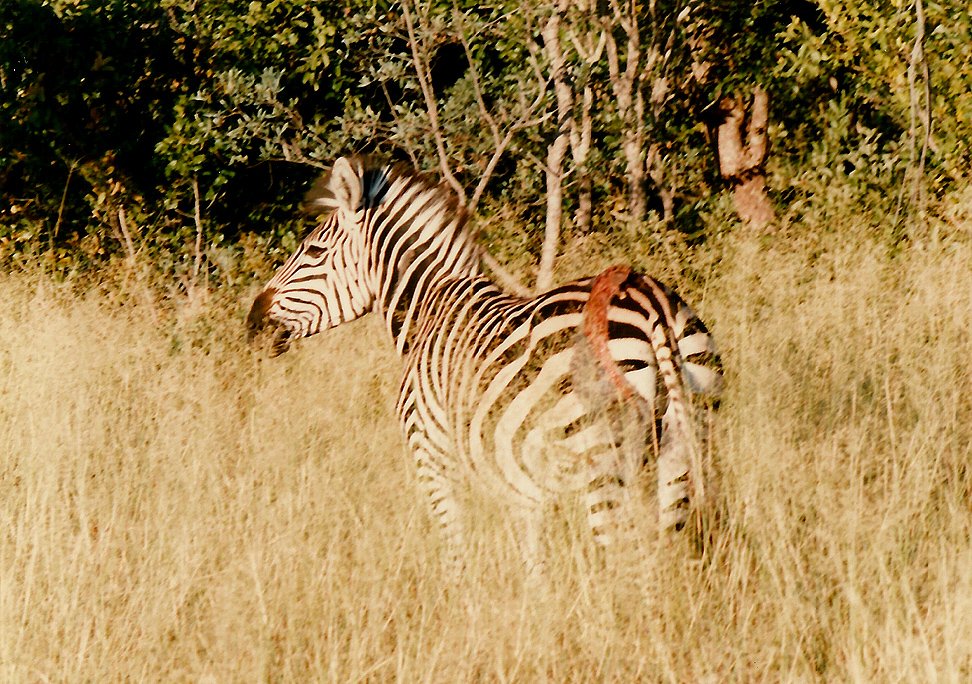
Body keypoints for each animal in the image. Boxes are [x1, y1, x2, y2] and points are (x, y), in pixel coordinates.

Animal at [251, 158, 720, 580]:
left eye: (314, 251)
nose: (252, 320)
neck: (428, 309)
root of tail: (647, 297)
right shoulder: (521, 486)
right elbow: (534, 561)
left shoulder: (433, 459)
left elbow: (455, 550)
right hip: (682, 443)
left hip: (597, 457)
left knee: (628, 561)